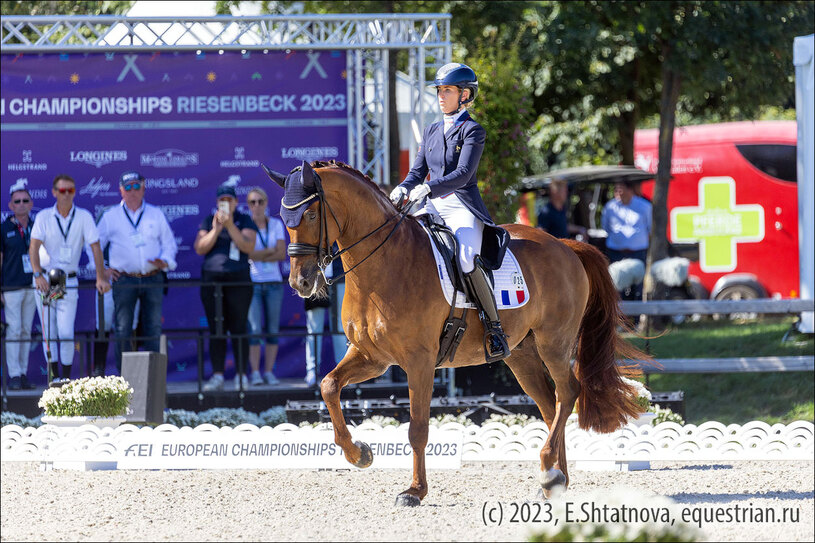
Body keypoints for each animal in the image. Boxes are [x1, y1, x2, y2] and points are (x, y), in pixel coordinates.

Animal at [264, 160, 648, 506]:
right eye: (284, 219)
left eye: (311, 215)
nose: (300, 283)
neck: (383, 264)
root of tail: (566, 245)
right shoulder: (372, 358)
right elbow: (329, 386)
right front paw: (359, 453)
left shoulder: (419, 362)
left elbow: (418, 429)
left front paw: (414, 491)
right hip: (522, 354)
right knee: (549, 404)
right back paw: (554, 481)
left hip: (554, 342)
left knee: (568, 393)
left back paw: (548, 470)